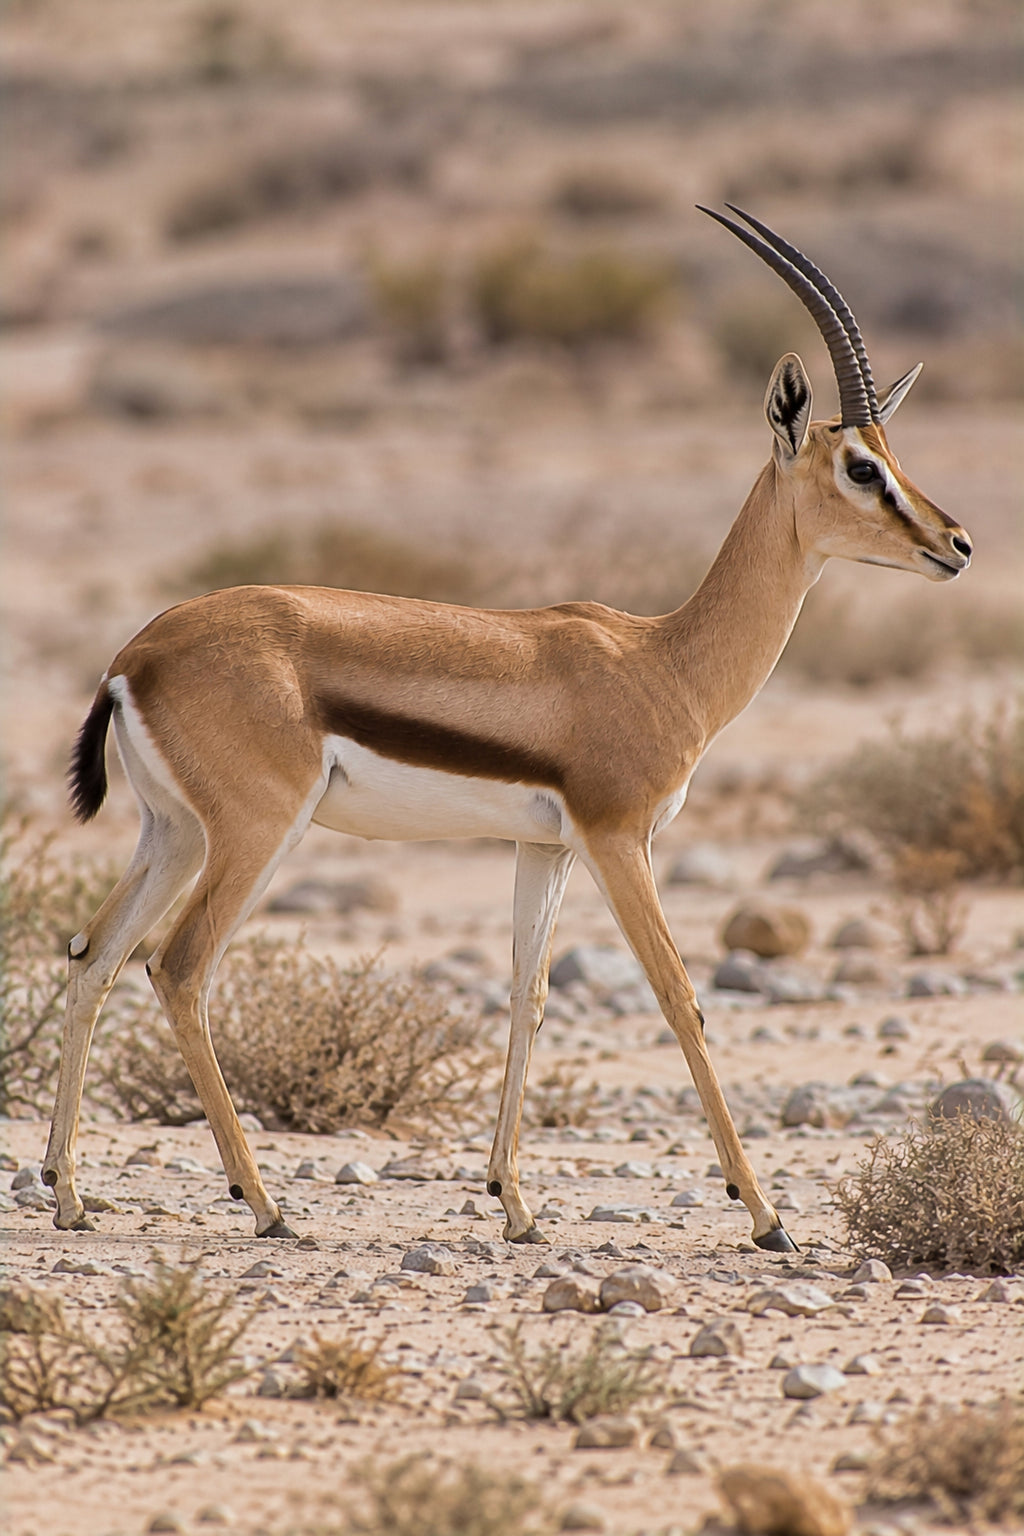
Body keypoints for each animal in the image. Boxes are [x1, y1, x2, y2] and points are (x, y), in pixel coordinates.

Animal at [43, 207, 972, 1251]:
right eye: (862, 466)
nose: (957, 544)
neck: (664, 661)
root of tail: (136, 653)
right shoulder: (620, 840)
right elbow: (679, 996)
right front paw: (767, 1215)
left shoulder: (548, 849)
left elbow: (528, 995)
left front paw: (516, 1205)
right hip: (252, 835)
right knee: (178, 967)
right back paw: (268, 1204)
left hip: (172, 833)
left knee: (94, 955)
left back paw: (70, 1194)